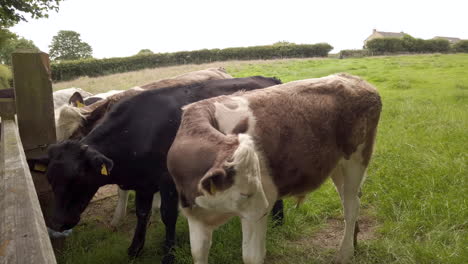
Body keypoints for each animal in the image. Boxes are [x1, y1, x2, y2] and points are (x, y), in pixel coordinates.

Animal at [166, 73, 382, 264]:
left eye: (257, 182)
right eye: (244, 193)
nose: (266, 209)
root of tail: (354, 79)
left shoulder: (255, 213)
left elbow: (252, 257)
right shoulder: (197, 217)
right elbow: (198, 253)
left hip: (356, 160)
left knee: (351, 206)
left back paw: (344, 254)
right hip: (338, 166)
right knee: (349, 200)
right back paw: (353, 244)